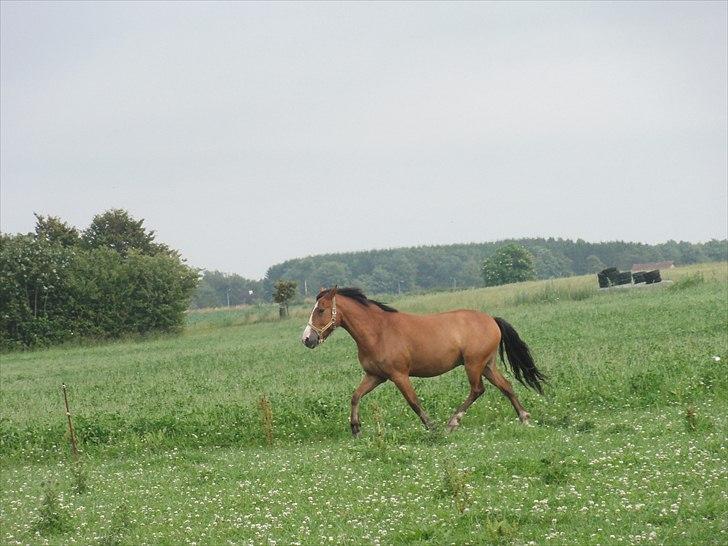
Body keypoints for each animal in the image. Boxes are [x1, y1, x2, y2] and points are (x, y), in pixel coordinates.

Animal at [302, 284, 544, 434]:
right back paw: (524, 418)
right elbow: (355, 396)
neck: (377, 332)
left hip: (474, 364)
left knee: (478, 390)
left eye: (321, 310)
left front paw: (432, 427)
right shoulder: (375, 375)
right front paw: (355, 428)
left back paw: (452, 423)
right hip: (487, 365)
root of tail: (491, 320)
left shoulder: (399, 375)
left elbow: (414, 402)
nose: (307, 339)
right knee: (506, 386)